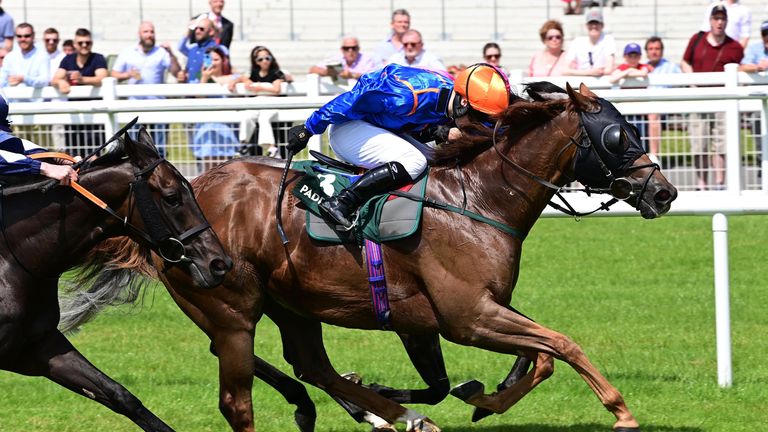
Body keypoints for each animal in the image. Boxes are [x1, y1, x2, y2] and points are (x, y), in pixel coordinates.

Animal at [67, 82, 680, 430]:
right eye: (619, 136)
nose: (664, 192)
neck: (479, 200)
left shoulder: (454, 314)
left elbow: (538, 356)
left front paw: (481, 397)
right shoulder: (467, 317)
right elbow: (562, 345)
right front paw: (621, 411)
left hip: (291, 303)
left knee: (308, 365)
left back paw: (381, 411)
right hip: (230, 304)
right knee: (251, 375)